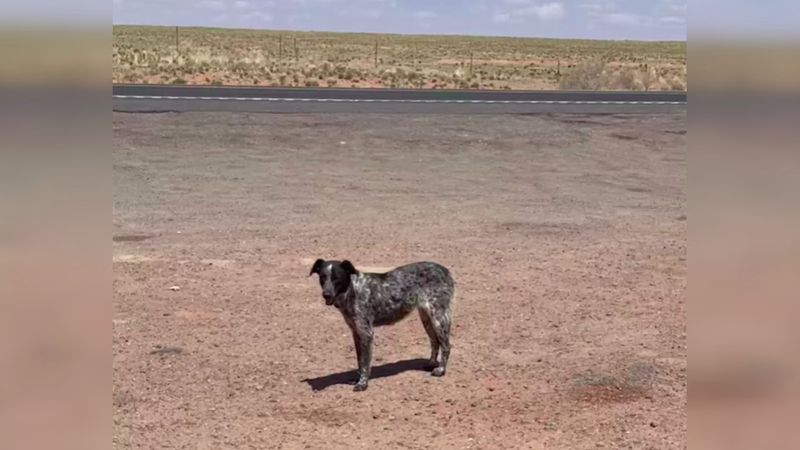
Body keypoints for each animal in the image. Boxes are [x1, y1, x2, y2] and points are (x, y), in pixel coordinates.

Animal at [308, 258, 454, 392]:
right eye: (322, 277)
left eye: (336, 278)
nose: (326, 294)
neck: (353, 290)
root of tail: (445, 270)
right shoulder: (356, 333)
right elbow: (360, 361)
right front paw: (358, 379)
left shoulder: (366, 333)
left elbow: (365, 363)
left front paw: (363, 383)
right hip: (426, 318)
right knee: (434, 342)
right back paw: (431, 364)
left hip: (438, 317)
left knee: (446, 345)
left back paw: (441, 370)